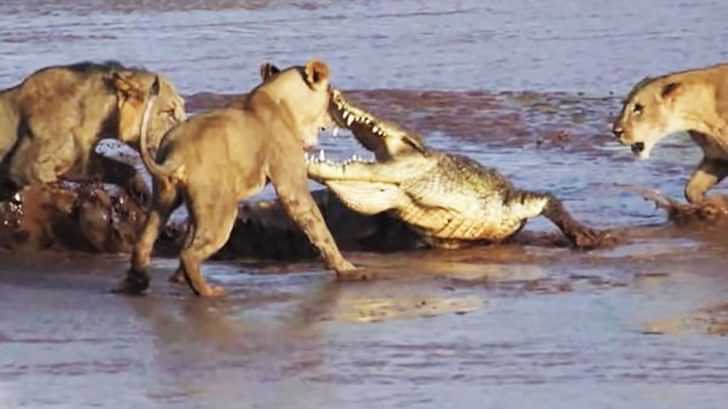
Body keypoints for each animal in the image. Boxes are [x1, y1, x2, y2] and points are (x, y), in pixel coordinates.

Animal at [114, 59, 357, 297]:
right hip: (222, 211)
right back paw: (208, 291)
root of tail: (177, 153)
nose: (337, 115)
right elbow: (320, 229)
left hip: (165, 201)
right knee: (189, 254)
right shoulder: (292, 187)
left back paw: (137, 284)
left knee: (144, 244)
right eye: (330, 93)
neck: (280, 100)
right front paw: (348, 269)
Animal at [613, 63, 728, 205]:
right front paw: (713, 204)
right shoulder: (716, 157)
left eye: (638, 108)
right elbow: (690, 190)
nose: (615, 131)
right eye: (624, 105)